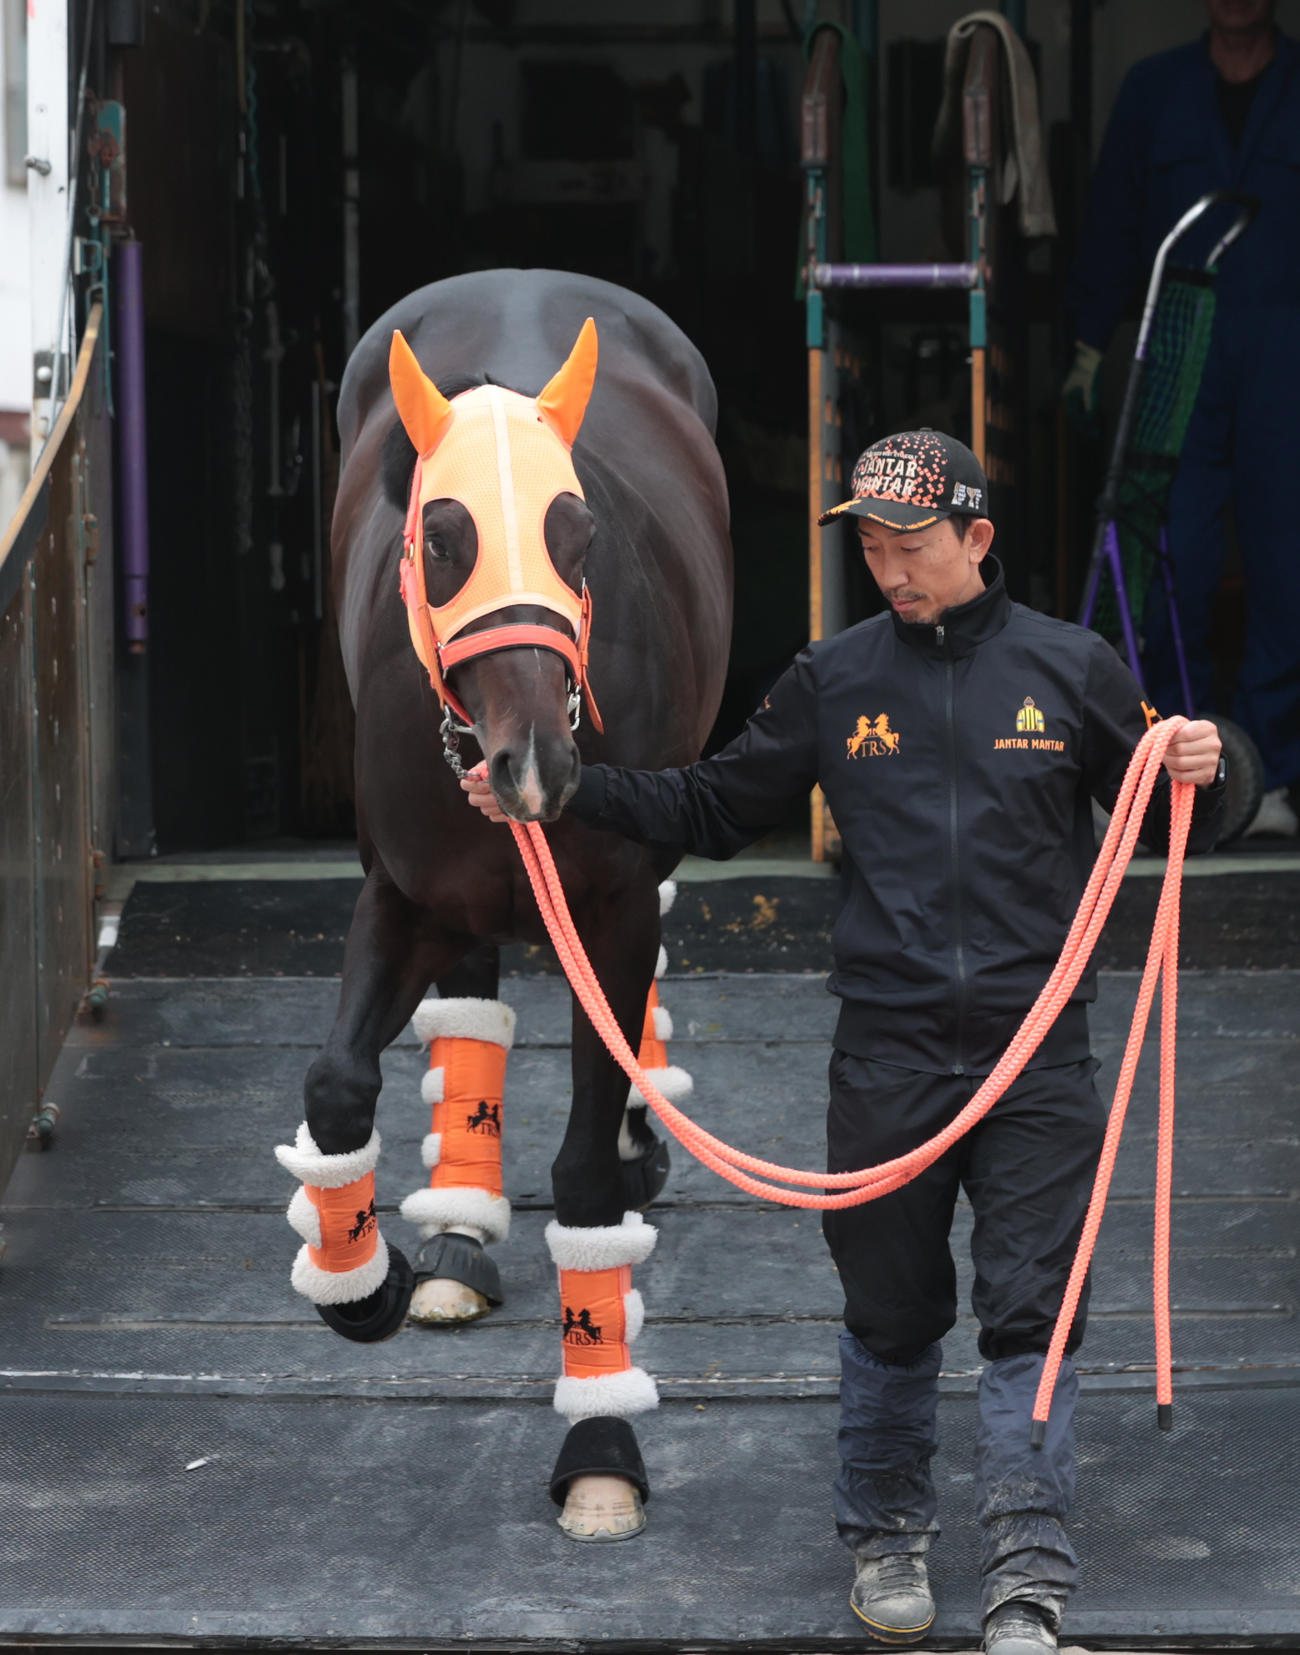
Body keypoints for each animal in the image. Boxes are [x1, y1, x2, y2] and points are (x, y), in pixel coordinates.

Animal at [274, 269, 732, 1541]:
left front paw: (600, 1445)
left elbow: (582, 1170)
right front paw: (361, 1276)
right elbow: (336, 1081)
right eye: (442, 538)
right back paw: (454, 1234)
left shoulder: (612, 904)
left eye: (580, 537)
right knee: (468, 1005)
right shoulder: (402, 890)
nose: (535, 761)